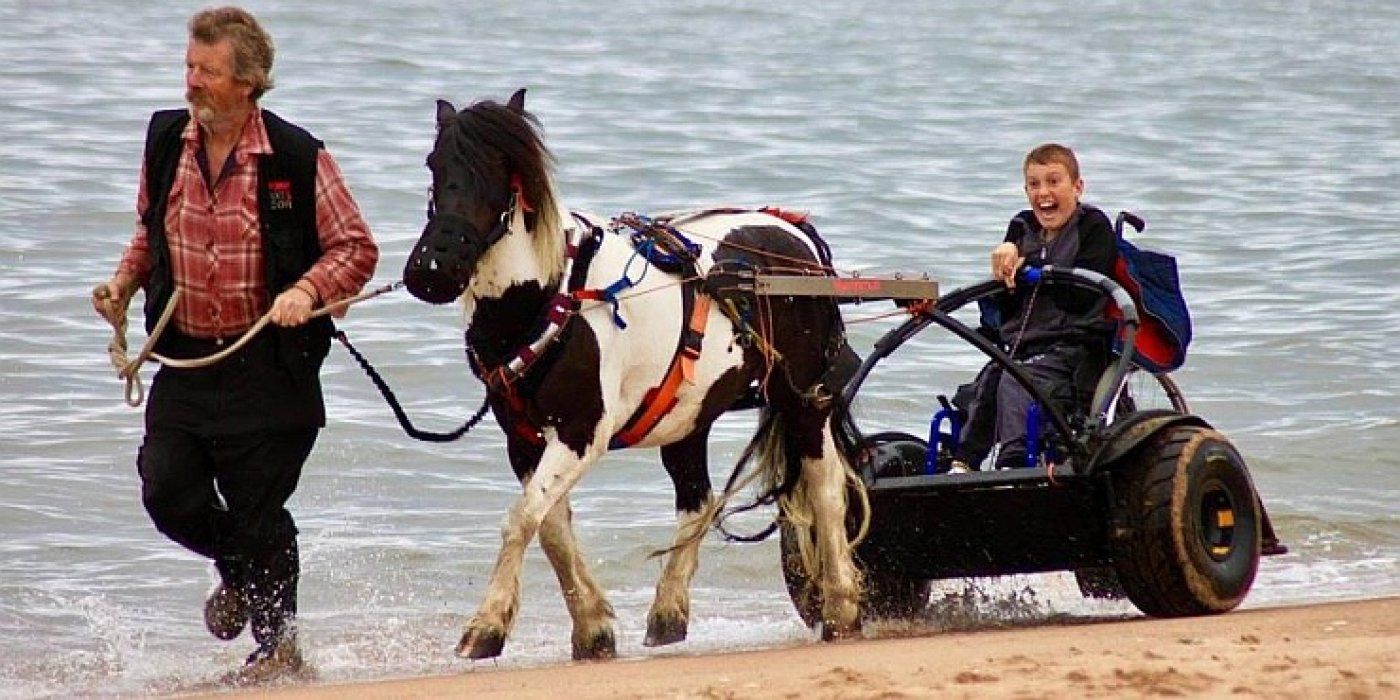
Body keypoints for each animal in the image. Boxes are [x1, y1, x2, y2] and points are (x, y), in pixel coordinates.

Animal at [403, 88, 867, 661]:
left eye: (500, 170)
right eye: (434, 164)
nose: (433, 269)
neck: (550, 299)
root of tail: (794, 233)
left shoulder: (582, 431)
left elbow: (523, 520)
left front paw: (487, 626)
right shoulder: (524, 439)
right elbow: (550, 526)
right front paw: (593, 626)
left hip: (801, 400)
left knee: (826, 489)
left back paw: (842, 606)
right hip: (690, 415)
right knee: (698, 501)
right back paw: (668, 612)